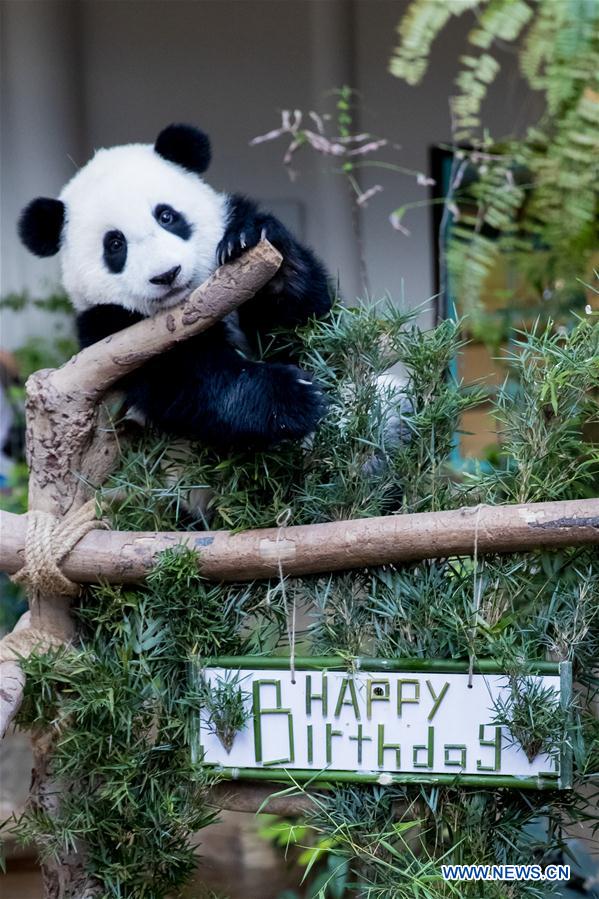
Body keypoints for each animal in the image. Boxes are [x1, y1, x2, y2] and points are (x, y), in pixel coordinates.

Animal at [18, 123, 331, 450]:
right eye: (115, 244)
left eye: (166, 216)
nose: (167, 274)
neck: (186, 307)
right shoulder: (109, 333)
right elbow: (185, 379)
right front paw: (294, 396)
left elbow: (303, 324)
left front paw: (249, 240)